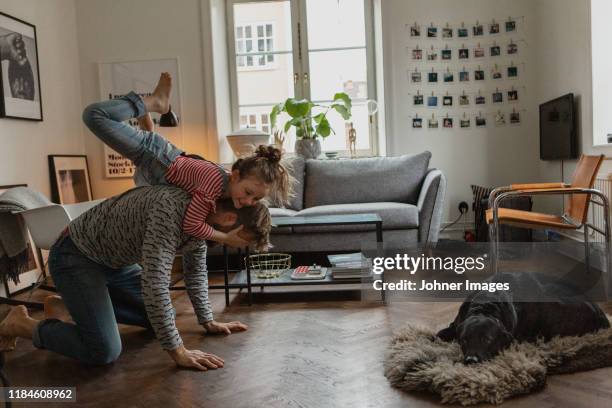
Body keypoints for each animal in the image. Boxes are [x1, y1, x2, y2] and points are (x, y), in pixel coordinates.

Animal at [438, 274, 608, 364]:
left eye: (487, 339)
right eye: (464, 340)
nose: (471, 360)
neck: (486, 305)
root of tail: (600, 311)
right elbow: (439, 334)